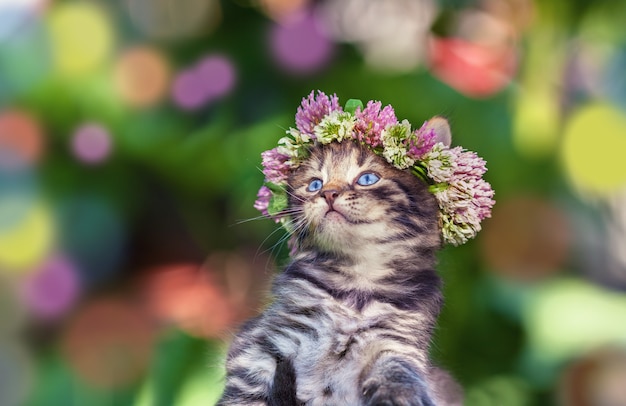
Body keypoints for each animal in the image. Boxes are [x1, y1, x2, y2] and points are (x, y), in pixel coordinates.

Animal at [217, 137, 460, 406]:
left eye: (367, 179)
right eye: (314, 184)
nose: (328, 193)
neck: (356, 281)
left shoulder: (397, 342)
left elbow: (399, 370)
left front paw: (400, 395)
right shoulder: (265, 341)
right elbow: (246, 393)